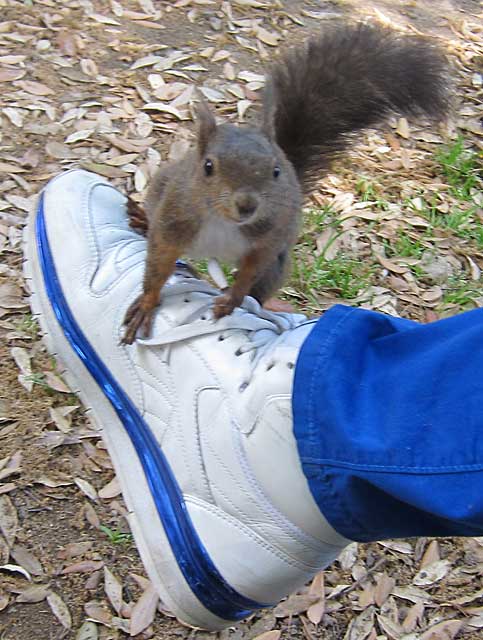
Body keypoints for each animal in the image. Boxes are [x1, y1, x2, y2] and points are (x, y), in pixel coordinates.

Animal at [121, 21, 450, 344]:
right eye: (208, 167)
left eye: (277, 171)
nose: (247, 205)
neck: (223, 222)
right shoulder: (175, 221)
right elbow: (158, 265)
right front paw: (147, 305)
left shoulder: (269, 237)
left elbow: (250, 271)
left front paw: (233, 299)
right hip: (162, 188)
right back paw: (142, 218)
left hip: (278, 264)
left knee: (260, 289)